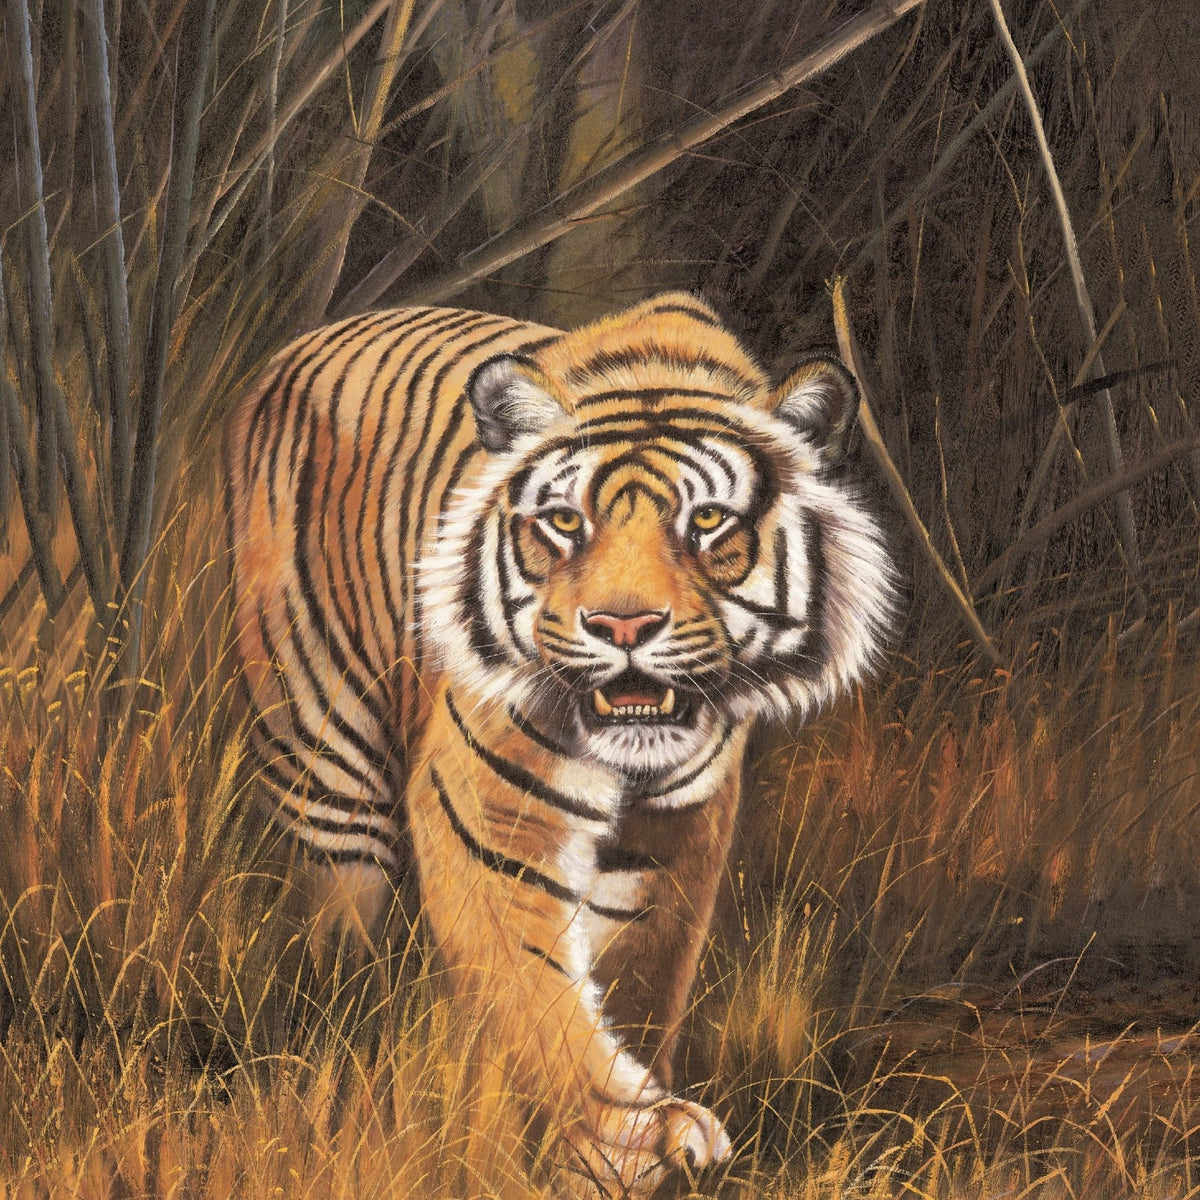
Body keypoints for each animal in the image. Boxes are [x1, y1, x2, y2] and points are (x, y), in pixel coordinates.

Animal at [224, 293, 894, 1196]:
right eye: (566, 522)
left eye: (706, 521)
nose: (623, 625)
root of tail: (307, 341)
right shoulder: (492, 817)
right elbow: (534, 991)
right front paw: (632, 1132)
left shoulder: (675, 837)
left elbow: (637, 980)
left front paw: (614, 1150)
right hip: (324, 761)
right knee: (337, 937)